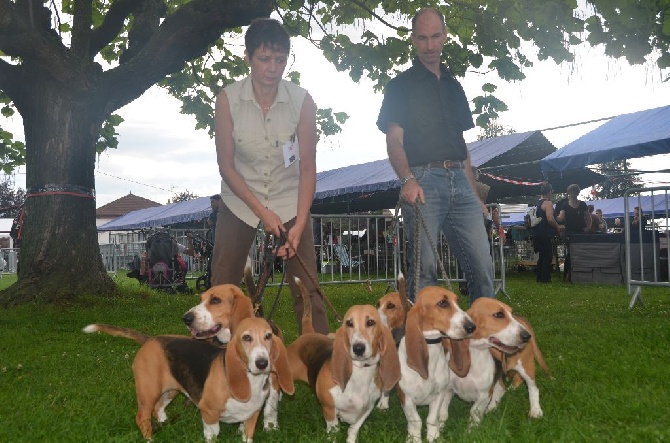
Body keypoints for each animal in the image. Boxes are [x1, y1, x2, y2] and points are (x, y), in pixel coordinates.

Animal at [84, 318, 294, 442]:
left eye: (268, 336)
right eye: (246, 338)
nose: (262, 363)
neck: (251, 380)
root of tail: (151, 339)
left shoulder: (251, 418)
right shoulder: (209, 415)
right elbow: (212, 434)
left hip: (170, 390)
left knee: (158, 408)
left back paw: (165, 424)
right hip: (148, 391)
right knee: (142, 417)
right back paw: (151, 438)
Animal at [400, 286, 478, 443]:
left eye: (457, 301)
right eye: (442, 303)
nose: (472, 327)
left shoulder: (439, 394)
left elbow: (431, 419)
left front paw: (433, 437)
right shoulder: (407, 398)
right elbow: (415, 421)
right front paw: (414, 439)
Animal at [446, 296, 552, 428]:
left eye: (511, 312)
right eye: (499, 315)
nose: (527, 336)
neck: (476, 353)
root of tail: (521, 319)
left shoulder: (484, 394)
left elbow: (474, 411)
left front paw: (471, 430)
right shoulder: (446, 391)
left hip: (526, 366)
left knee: (532, 387)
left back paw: (535, 411)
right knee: (504, 387)